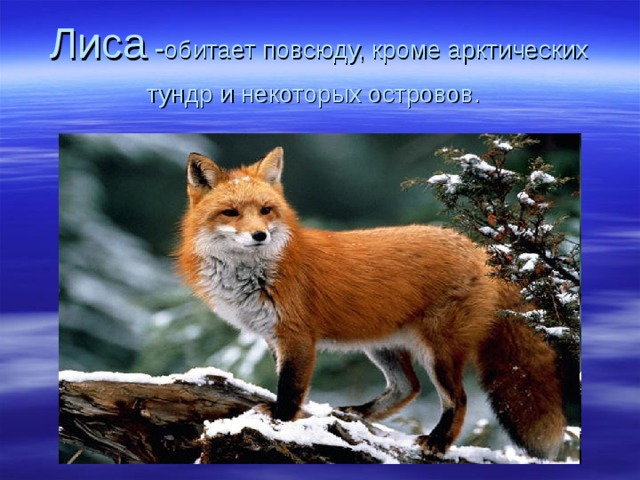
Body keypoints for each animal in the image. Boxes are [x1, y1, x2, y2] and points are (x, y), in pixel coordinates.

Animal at [176, 146, 566, 459]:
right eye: (231, 213)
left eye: (266, 209)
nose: (260, 235)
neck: (255, 274)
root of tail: (481, 251)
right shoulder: (274, 337)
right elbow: (287, 383)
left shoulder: (297, 337)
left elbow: (291, 390)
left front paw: (280, 423)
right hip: (382, 345)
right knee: (408, 387)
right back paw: (356, 414)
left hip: (439, 351)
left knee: (458, 399)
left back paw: (437, 443)